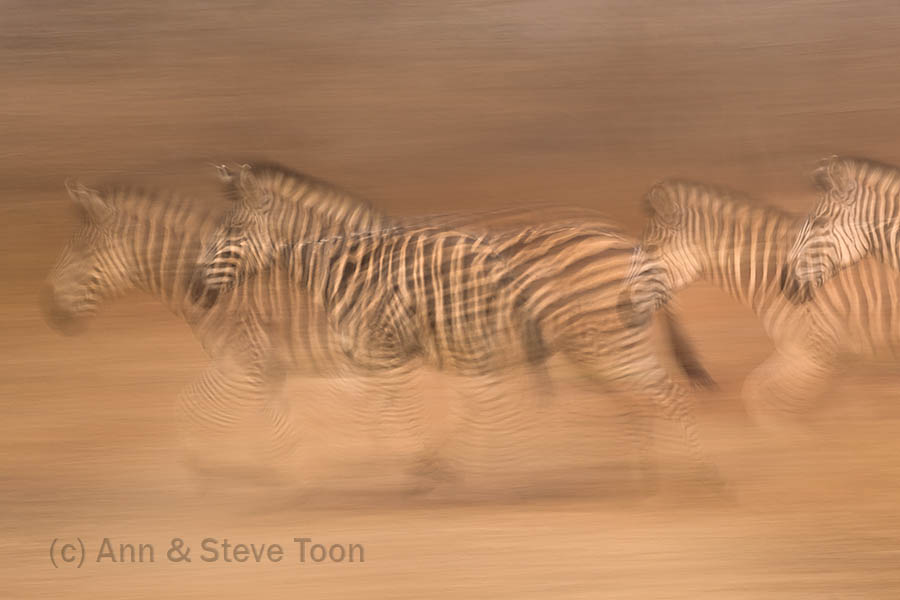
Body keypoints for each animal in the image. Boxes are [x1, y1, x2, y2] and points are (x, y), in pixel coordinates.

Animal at [198, 162, 724, 488]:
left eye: (233, 232)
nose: (198, 287)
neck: (355, 265)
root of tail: (631, 245)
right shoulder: (387, 356)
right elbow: (386, 411)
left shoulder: (387, 351)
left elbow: (392, 413)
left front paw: (415, 467)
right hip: (599, 342)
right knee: (645, 398)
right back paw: (644, 475)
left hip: (602, 341)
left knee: (663, 393)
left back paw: (698, 476)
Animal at [621, 179, 900, 432]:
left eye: (651, 248)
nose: (623, 304)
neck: (769, 277)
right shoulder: (797, 350)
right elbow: (756, 391)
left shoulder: (813, 352)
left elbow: (757, 395)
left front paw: (793, 435)